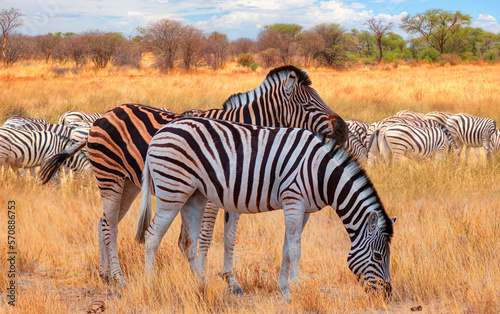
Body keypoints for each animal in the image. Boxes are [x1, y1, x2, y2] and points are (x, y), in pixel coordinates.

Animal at [39, 65, 348, 288]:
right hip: (110, 177)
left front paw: (231, 282)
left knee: (103, 222)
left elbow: (230, 238)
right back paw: (118, 278)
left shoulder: (236, 192)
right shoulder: (213, 195)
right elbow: (206, 237)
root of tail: (101, 117)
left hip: (129, 184)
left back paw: (105, 275)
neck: (244, 133)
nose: (343, 129)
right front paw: (204, 277)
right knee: (110, 227)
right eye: (308, 106)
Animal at [136, 117, 394, 300]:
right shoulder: (293, 199)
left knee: (186, 242)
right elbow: (295, 248)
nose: (387, 294)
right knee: (152, 237)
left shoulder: (305, 210)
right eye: (379, 256)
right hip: (172, 190)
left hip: (194, 195)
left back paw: (202, 285)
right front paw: (295, 289)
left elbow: (287, 247)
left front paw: (284, 289)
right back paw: (150, 286)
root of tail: (161, 131)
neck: (320, 171)